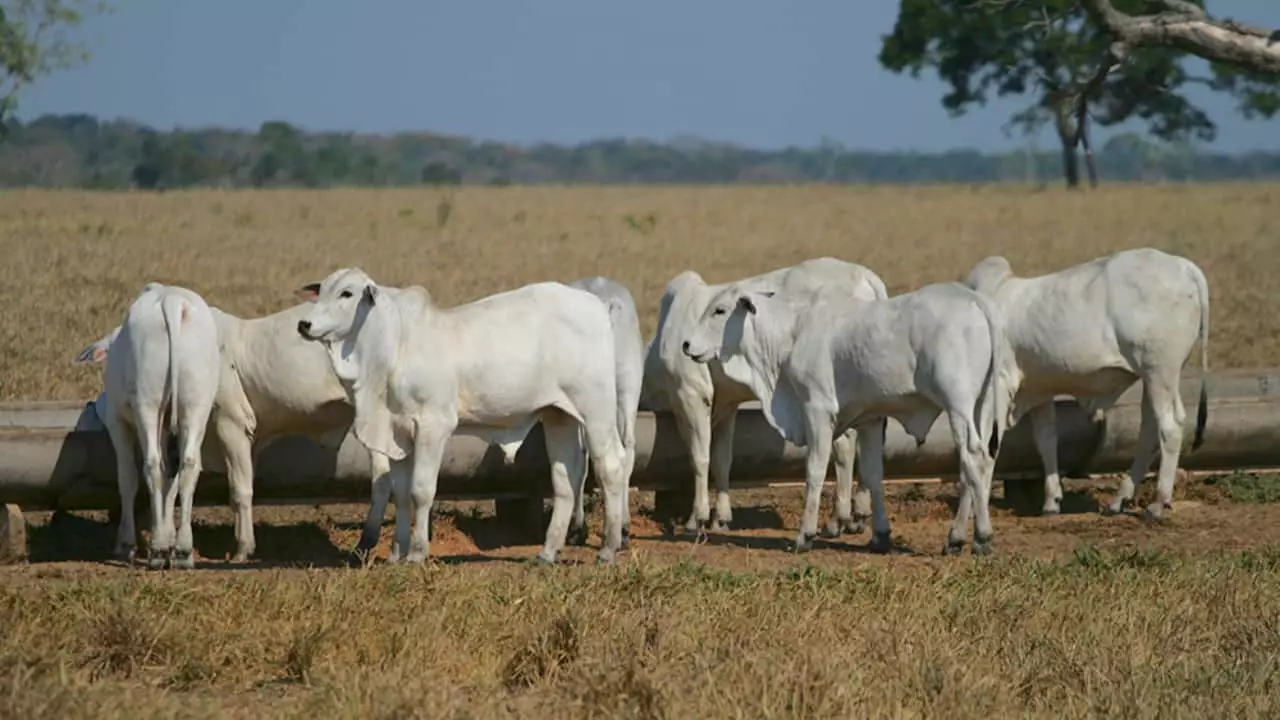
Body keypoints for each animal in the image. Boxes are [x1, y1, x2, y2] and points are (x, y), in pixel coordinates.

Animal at [74, 280, 221, 566]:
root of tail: (172, 301)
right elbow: (170, 482)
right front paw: (165, 531)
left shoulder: (118, 423)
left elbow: (128, 479)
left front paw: (126, 543)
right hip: (197, 404)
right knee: (187, 466)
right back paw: (182, 550)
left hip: (147, 405)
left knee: (151, 465)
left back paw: (160, 550)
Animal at [291, 266, 629, 563]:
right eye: (322, 289)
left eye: (347, 293)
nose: (304, 324)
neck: (393, 346)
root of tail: (596, 304)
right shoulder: (398, 433)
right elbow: (400, 493)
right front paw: (397, 553)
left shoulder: (434, 425)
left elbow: (421, 490)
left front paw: (417, 553)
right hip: (559, 415)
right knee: (565, 478)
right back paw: (548, 552)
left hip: (595, 411)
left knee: (612, 465)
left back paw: (609, 549)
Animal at [645, 254, 885, 535]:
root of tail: (865, 276)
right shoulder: (726, 405)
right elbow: (722, 460)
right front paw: (721, 518)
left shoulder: (692, 394)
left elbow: (700, 457)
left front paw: (697, 518)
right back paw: (854, 515)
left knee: (845, 446)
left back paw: (840, 518)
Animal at [686, 278, 1003, 550]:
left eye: (720, 310)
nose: (686, 345)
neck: (792, 333)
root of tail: (974, 300)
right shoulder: (870, 419)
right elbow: (873, 474)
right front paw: (880, 536)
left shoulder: (818, 409)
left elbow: (814, 470)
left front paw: (805, 534)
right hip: (981, 407)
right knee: (977, 464)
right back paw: (958, 537)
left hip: (958, 405)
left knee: (973, 457)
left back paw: (982, 536)